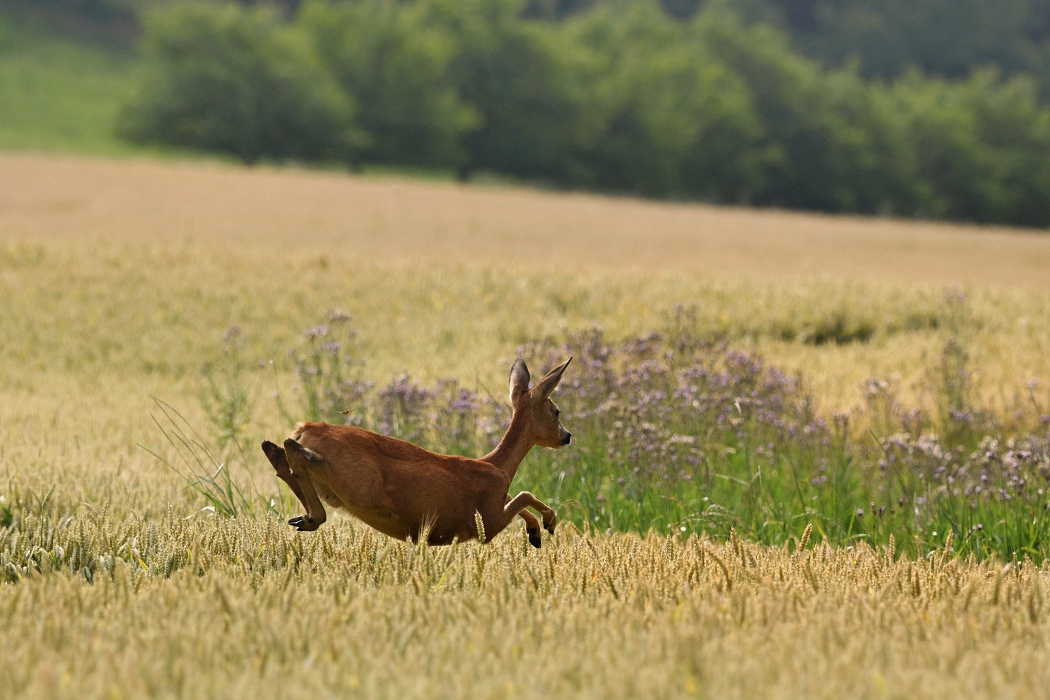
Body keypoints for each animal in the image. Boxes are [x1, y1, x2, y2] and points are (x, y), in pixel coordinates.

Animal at [262, 358, 575, 549]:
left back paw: (303, 517)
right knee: (293, 450)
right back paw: (312, 517)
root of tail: (307, 428)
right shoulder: (486, 523)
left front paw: (536, 531)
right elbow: (522, 495)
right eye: (556, 411)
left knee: (277, 452)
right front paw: (546, 524)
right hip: (355, 481)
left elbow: (517, 497)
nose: (567, 436)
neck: (499, 466)